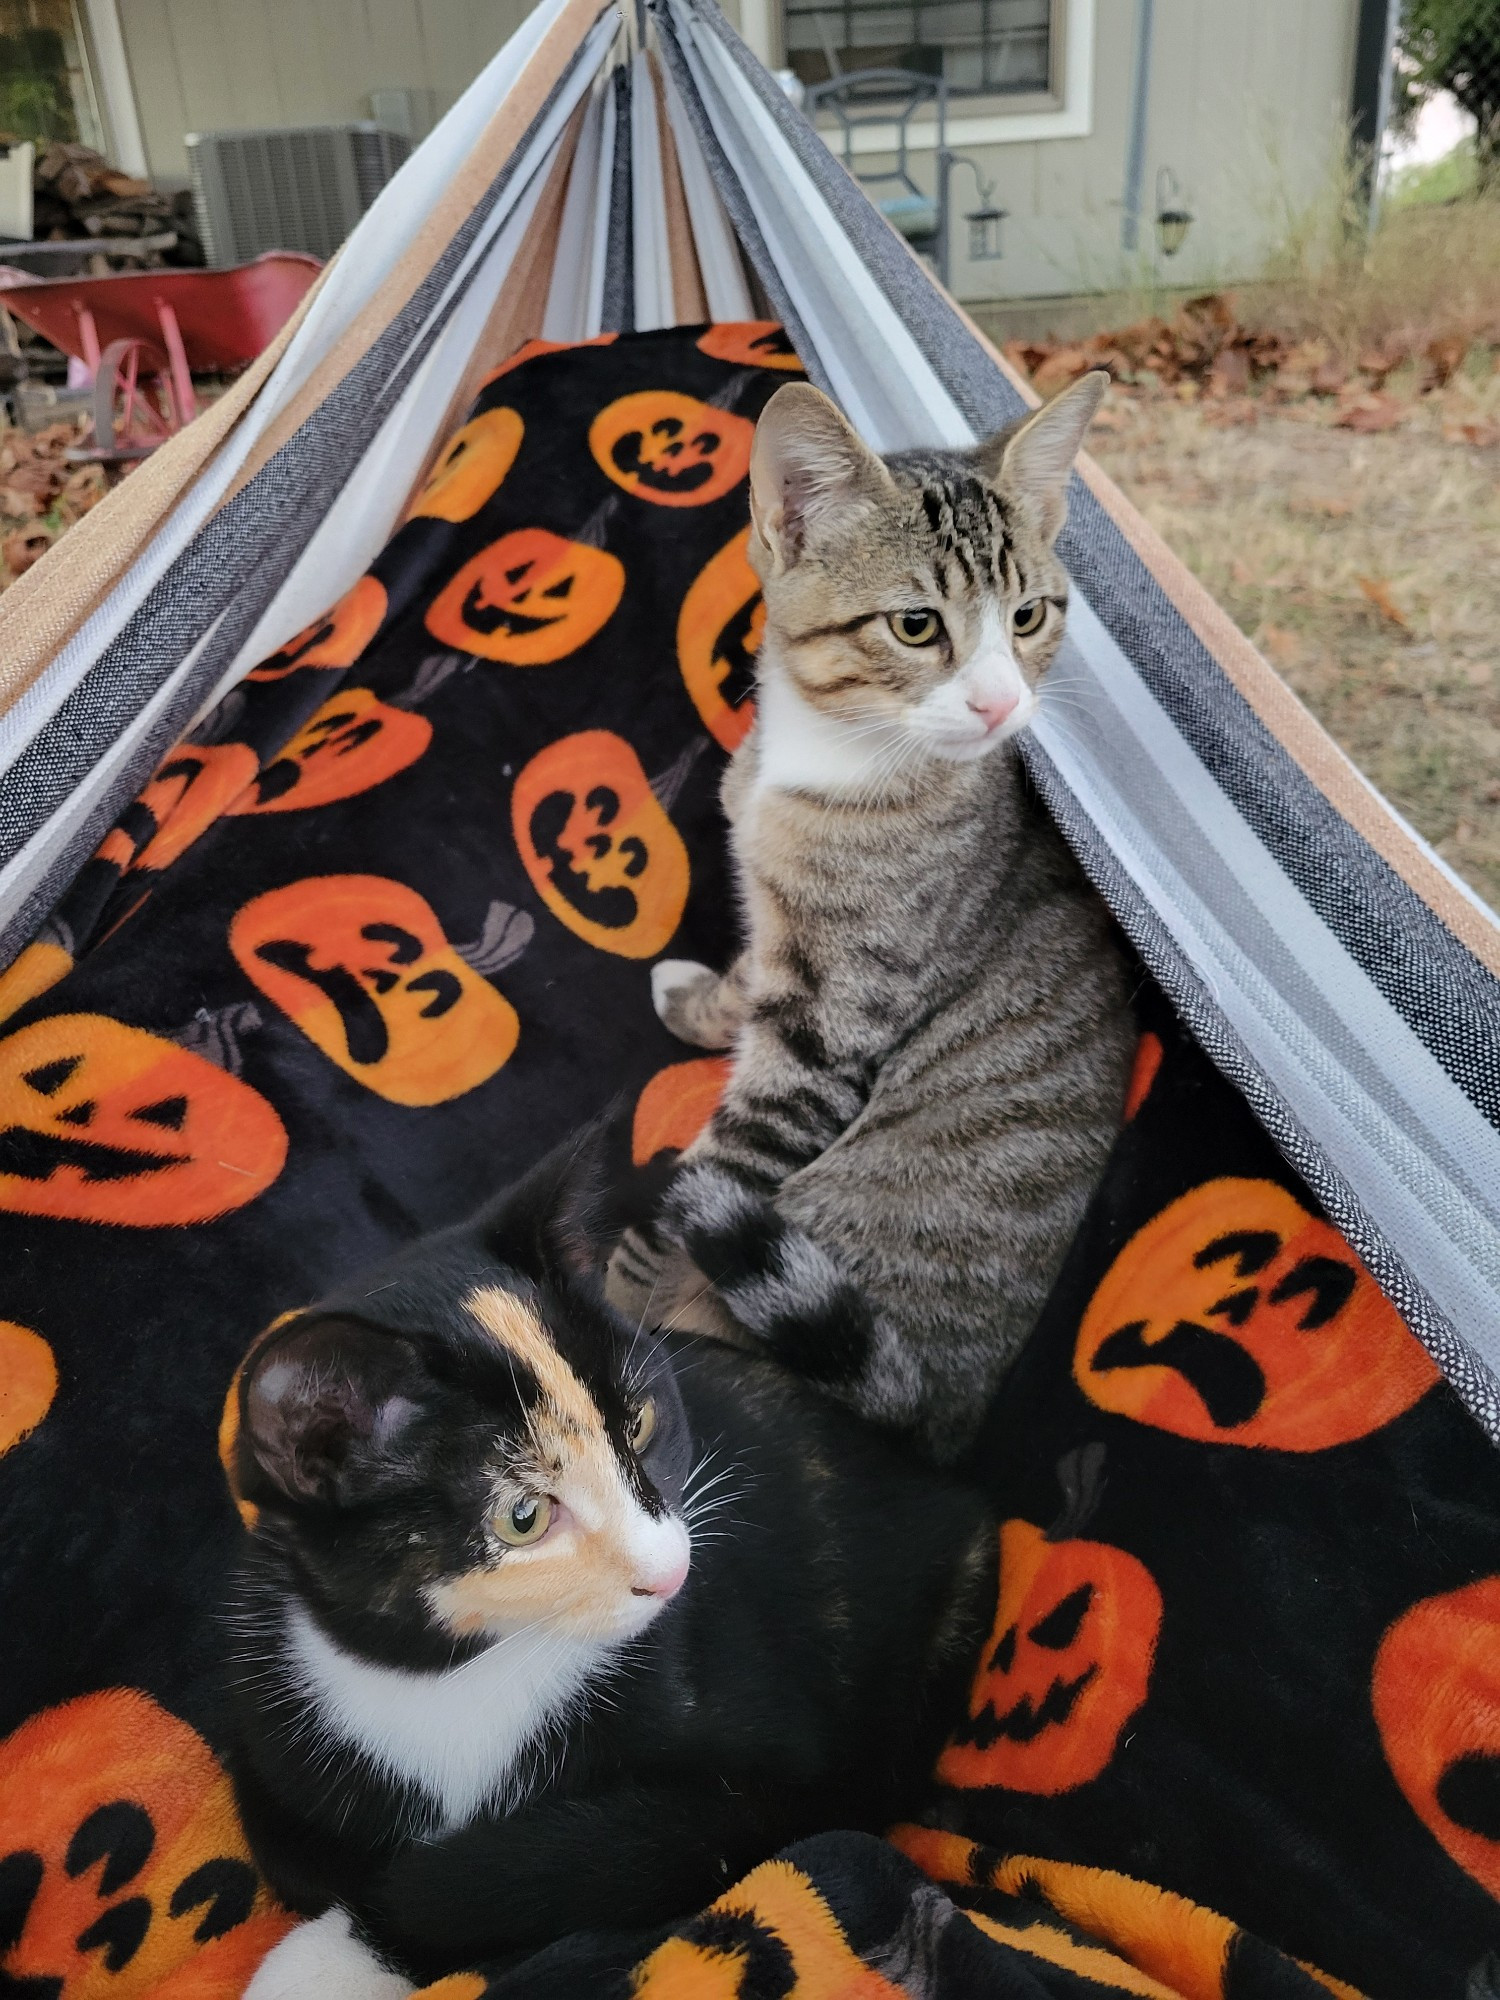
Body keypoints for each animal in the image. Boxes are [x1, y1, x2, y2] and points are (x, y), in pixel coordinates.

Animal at [226, 1136, 1000, 1992]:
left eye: (642, 1423)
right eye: (523, 1516)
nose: (669, 1571)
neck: (456, 1675)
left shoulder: (772, 1785)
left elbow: (529, 1871)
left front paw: (333, 1956)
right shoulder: (267, 1714)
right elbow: (285, 1842)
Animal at [612, 376, 1136, 1464]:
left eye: (1029, 615)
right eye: (915, 625)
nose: (1000, 705)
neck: (828, 755)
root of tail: (936, 1426)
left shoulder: (833, 1020)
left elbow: (722, 1161)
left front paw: (610, 1287)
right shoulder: (780, 934)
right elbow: (745, 977)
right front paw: (699, 997)